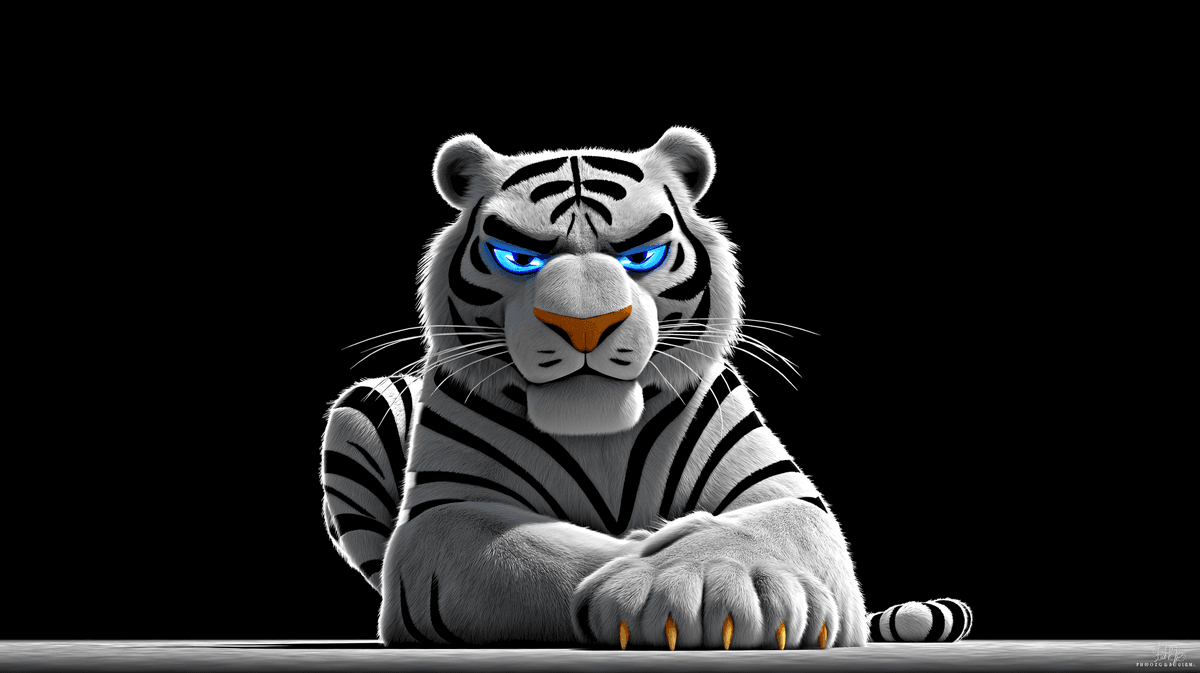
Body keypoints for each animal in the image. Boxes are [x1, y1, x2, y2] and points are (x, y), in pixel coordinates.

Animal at [319, 128, 972, 649]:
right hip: (357, 409)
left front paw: (711, 582)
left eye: (641, 256)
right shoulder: (444, 517)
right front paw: (657, 568)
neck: (598, 433)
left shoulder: (787, 494)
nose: (585, 325)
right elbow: (543, 552)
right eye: (518, 259)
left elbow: (768, 526)